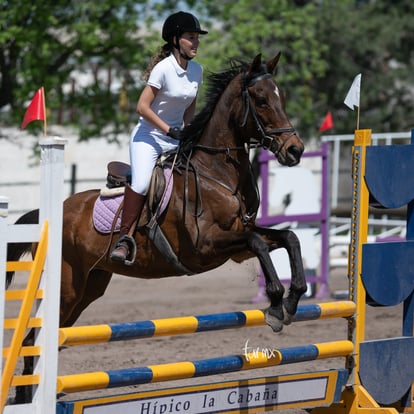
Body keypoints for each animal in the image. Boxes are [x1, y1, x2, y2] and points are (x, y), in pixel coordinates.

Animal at [4, 51, 306, 402]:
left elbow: (288, 237)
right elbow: (259, 244)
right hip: (68, 287)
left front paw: (293, 299)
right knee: (31, 341)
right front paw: (275, 305)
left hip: (90, 287)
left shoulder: (238, 243)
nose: (295, 150)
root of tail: (50, 213)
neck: (215, 173)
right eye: (260, 99)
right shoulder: (207, 247)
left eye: (280, 97)